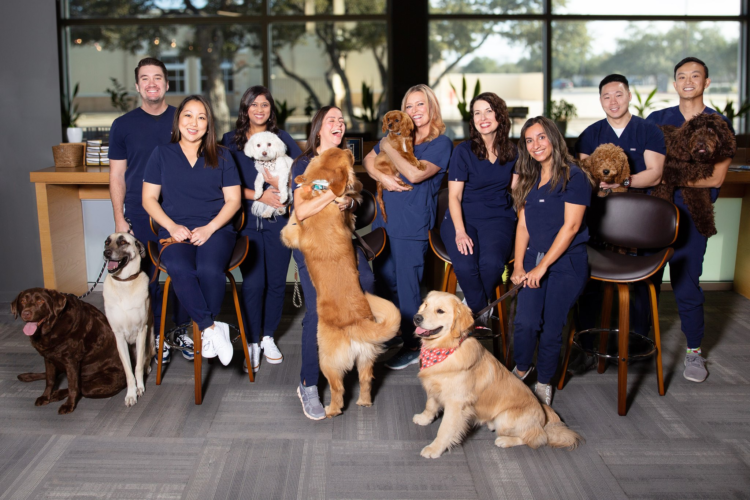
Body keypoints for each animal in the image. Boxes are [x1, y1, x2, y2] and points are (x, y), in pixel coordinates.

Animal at [11, 288, 126, 416]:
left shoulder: (71, 361)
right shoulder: (48, 358)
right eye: (22, 301)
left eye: (40, 301)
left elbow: (73, 386)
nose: (26, 313)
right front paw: (45, 397)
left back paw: (58, 394)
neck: (53, 327)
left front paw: (68, 405)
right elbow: (50, 380)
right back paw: (27, 376)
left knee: (82, 388)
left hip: (98, 384)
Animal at [282, 148, 402, 418]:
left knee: (338, 390)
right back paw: (364, 402)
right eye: (333, 151)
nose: (349, 149)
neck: (322, 187)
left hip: (327, 359)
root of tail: (358, 325)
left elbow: (290, 225)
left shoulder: (295, 231)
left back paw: (330, 410)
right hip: (366, 359)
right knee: (366, 382)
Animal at [414, 292, 584, 458]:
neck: (445, 348)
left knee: (537, 438)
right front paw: (424, 419)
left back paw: (505, 440)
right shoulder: (434, 388)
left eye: (440, 311)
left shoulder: (456, 403)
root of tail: (543, 414)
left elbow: (445, 429)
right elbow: (430, 405)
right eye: (425, 305)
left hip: (505, 418)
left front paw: (435, 449)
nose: (417, 317)